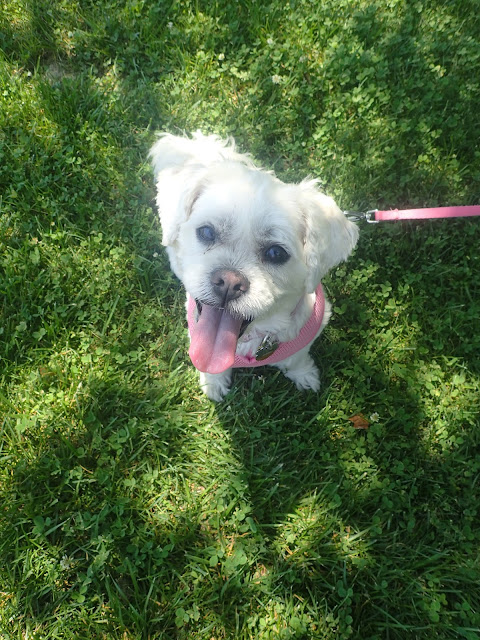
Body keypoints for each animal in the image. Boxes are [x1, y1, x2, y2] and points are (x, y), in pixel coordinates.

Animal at [150, 132, 358, 401]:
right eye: (206, 232)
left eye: (276, 253)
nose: (229, 283)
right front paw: (213, 383)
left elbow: (297, 359)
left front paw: (304, 375)